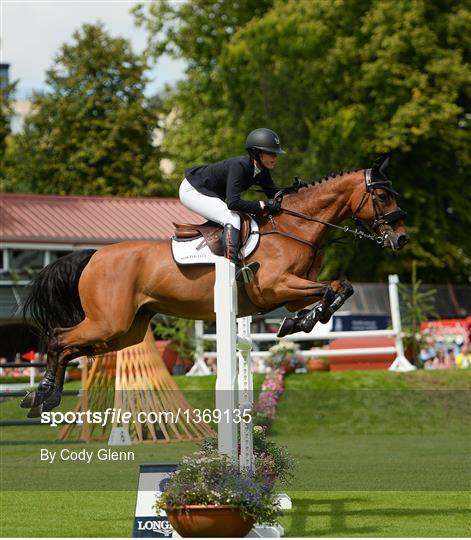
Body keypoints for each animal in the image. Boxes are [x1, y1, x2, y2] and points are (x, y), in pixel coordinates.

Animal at [20, 154, 408, 416]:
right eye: (383, 197)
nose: (401, 239)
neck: (293, 227)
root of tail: (93, 256)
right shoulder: (277, 286)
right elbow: (330, 290)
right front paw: (300, 323)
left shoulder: (294, 290)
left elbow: (340, 288)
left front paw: (302, 321)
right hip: (108, 322)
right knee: (59, 338)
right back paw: (41, 395)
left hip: (123, 331)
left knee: (70, 347)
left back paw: (45, 396)